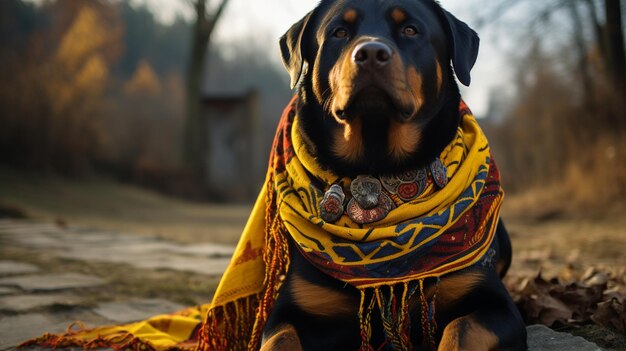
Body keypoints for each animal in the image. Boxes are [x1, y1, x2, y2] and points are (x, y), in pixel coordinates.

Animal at [258, 0, 528, 351]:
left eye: (410, 29)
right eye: (339, 32)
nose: (371, 52)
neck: (378, 163)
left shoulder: (493, 302)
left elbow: (460, 329)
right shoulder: (292, 309)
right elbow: (280, 339)